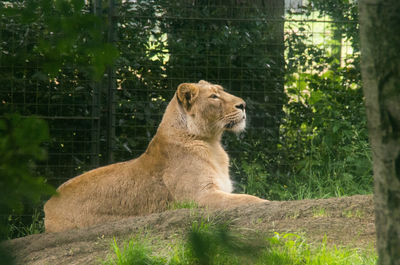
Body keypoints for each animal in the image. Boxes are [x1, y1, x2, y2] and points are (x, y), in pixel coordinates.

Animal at [43, 80, 268, 231]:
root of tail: (47, 204)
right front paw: (266, 202)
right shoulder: (198, 197)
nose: (243, 105)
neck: (213, 144)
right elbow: (249, 200)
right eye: (213, 97)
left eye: (221, 91)